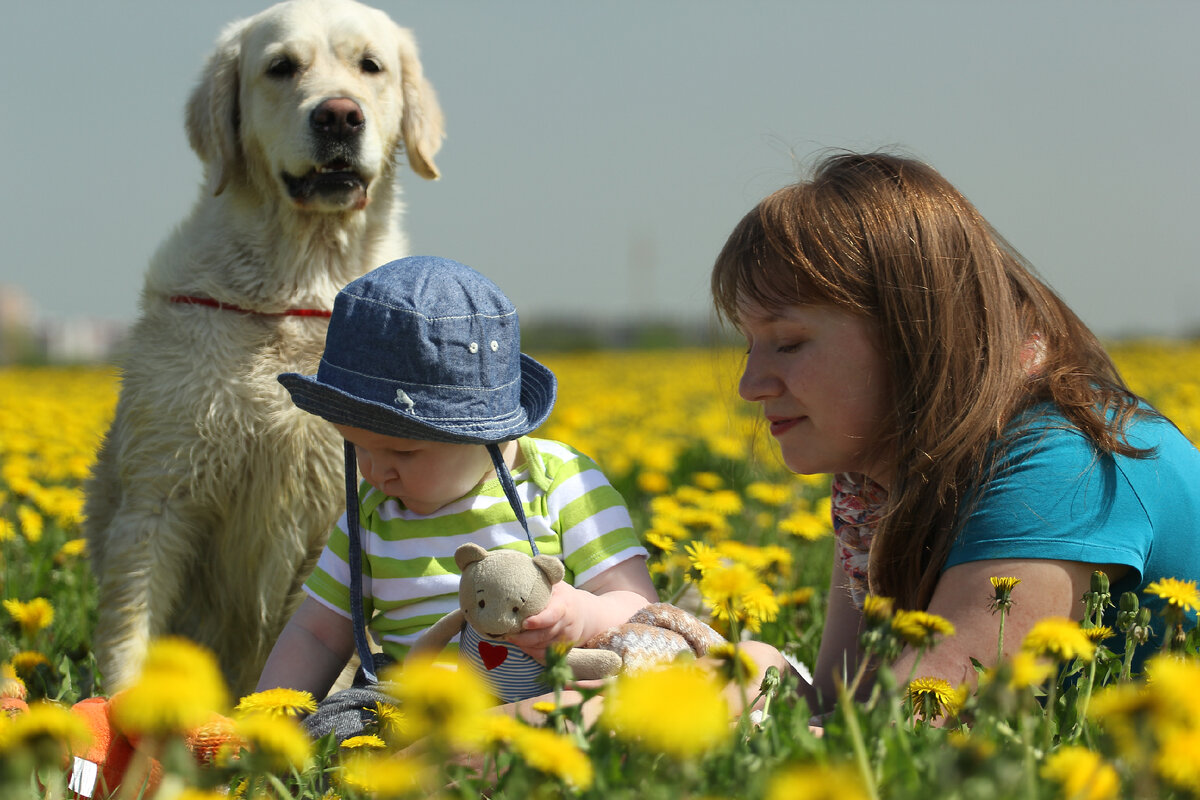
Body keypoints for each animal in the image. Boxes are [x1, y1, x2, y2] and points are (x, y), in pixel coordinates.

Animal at [85, 0, 446, 695]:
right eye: (281, 67)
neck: (293, 287)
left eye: (371, 66)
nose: (339, 115)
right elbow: (132, 625)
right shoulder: (161, 492)